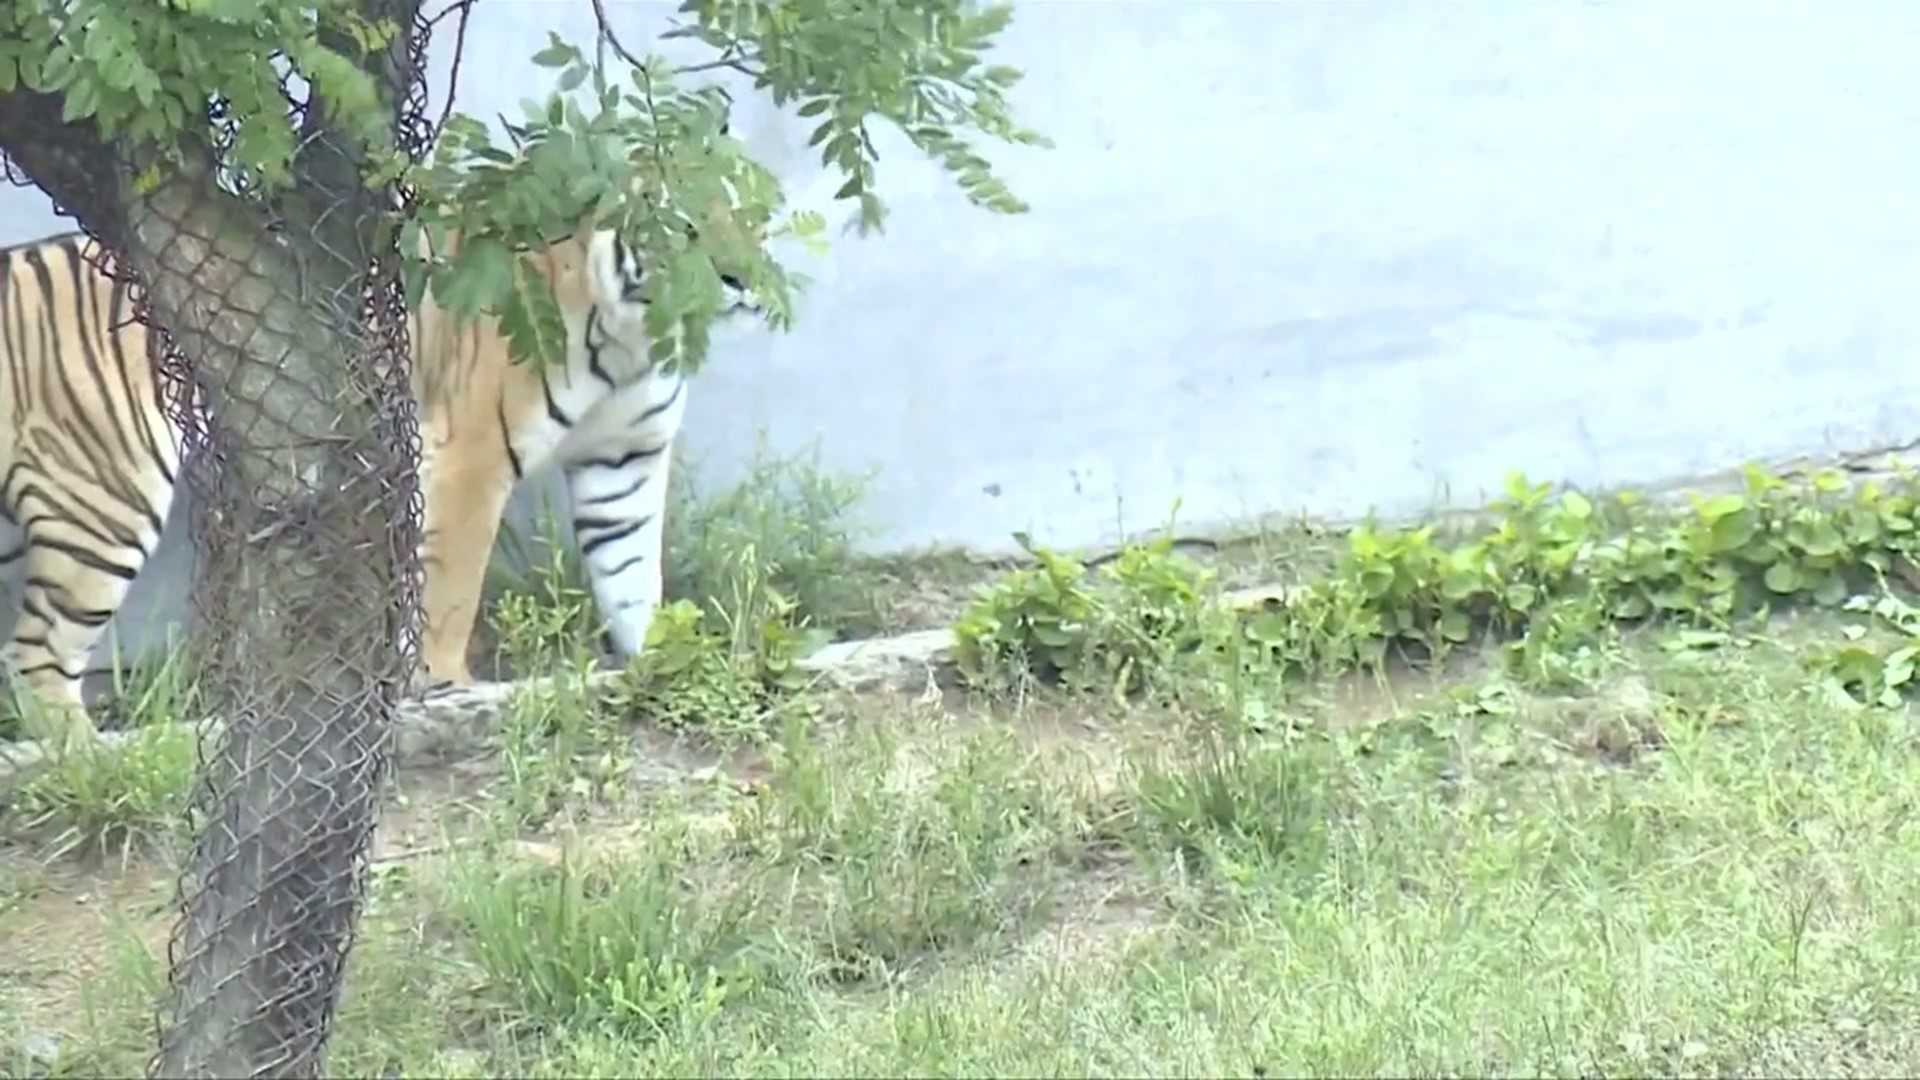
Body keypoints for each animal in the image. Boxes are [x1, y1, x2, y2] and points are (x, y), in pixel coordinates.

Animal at [0, 210, 764, 749]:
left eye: (750, 220)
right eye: (685, 226)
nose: (741, 278)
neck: (638, 339)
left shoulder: (623, 463)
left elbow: (632, 578)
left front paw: (667, 663)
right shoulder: (470, 458)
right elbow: (452, 590)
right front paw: (447, 687)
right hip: (104, 498)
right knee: (36, 654)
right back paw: (91, 755)